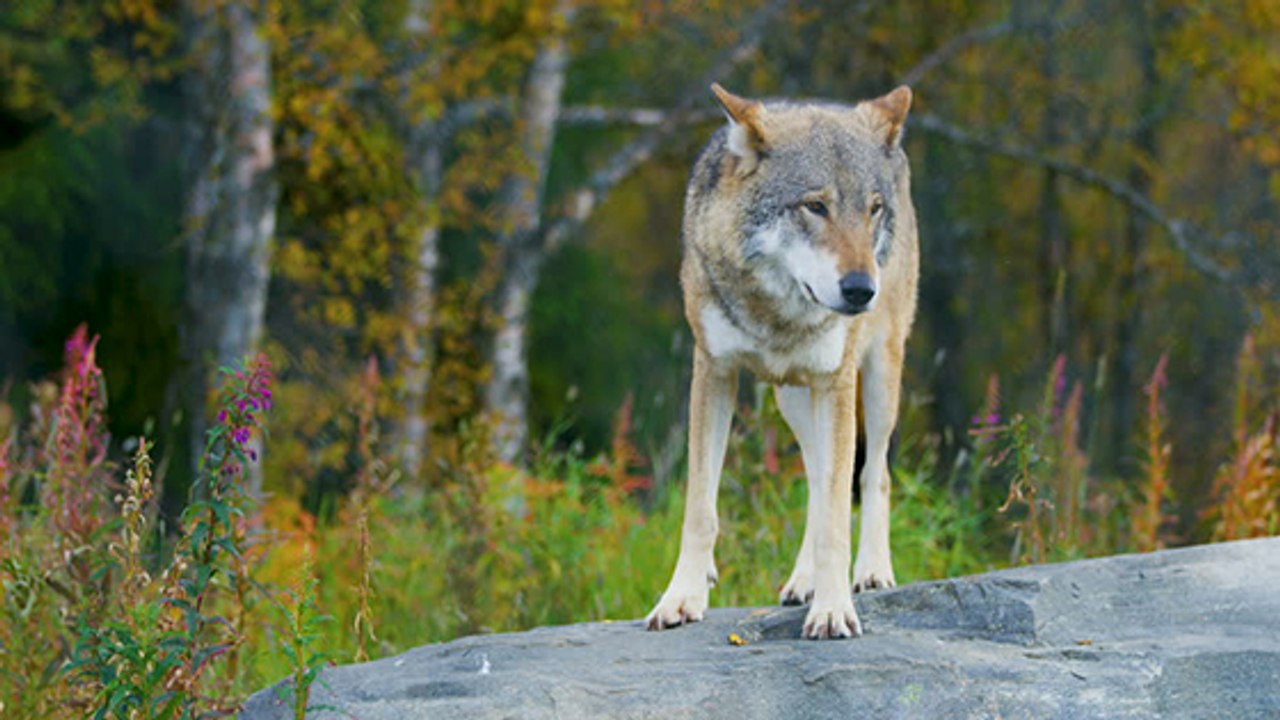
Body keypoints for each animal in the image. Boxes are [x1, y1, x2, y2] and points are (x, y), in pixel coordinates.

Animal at [646, 83, 918, 639]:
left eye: (873, 208)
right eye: (815, 206)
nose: (861, 290)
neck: (776, 311)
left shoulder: (835, 381)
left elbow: (839, 514)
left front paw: (833, 609)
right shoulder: (713, 372)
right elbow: (700, 508)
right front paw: (681, 597)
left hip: (878, 381)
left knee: (873, 474)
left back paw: (872, 572)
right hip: (792, 399)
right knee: (817, 481)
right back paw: (804, 580)